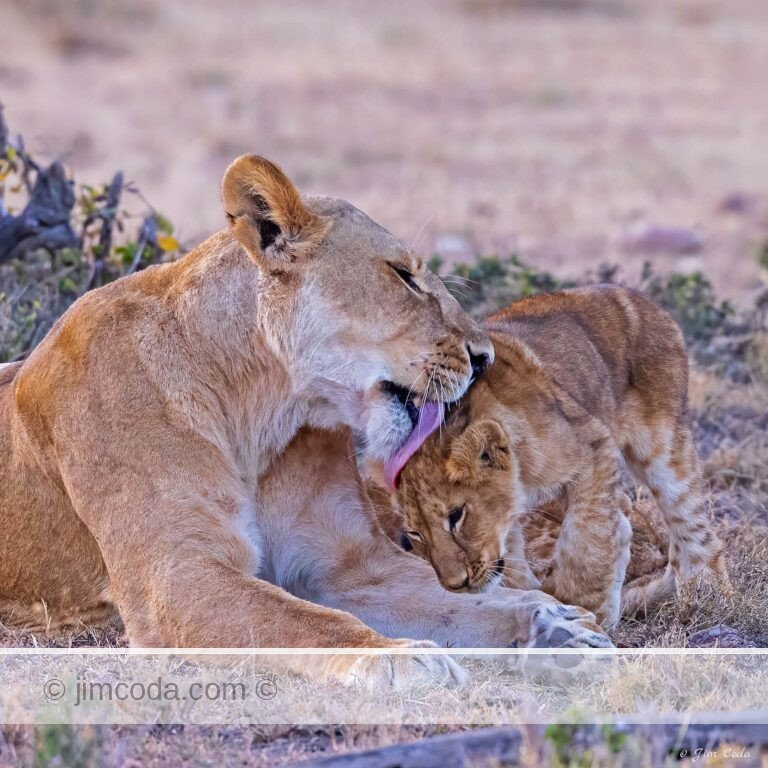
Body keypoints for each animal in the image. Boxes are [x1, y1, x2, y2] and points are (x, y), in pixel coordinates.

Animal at [0, 156, 610, 687]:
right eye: (404, 276)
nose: (483, 357)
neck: (257, 414)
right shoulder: (174, 578)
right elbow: (304, 621)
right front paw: (399, 658)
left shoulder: (348, 566)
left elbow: (453, 603)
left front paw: (554, 630)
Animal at [389, 285, 728, 629]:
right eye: (414, 534)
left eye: (456, 516)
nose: (455, 585)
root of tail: (640, 298)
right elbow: (516, 564)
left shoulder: (594, 445)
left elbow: (587, 539)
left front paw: (577, 606)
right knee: (622, 517)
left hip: (662, 446)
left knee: (691, 526)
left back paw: (708, 599)